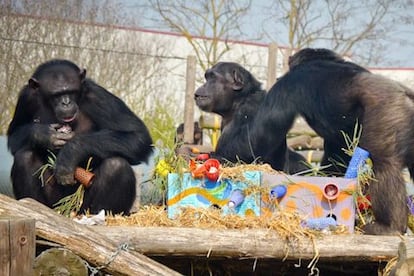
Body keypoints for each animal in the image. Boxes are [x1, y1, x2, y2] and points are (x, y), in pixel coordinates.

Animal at [7, 58, 154, 216]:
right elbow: (14, 134)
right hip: (56, 204)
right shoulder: (26, 97)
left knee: (116, 165)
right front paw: (44, 135)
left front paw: (71, 152)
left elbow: (138, 136)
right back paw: (35, 207)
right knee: (25, 157)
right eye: (56, 95)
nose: (66, 102)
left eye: (71, 91)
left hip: (82, 206)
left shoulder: (98, 96)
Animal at [205, 48, 414, 234]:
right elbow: (337, 150)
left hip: (386, 111)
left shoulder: (287, 85)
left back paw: (389, 227)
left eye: (211, 78)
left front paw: (214, 156)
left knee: (384, 162)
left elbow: (262, 132)